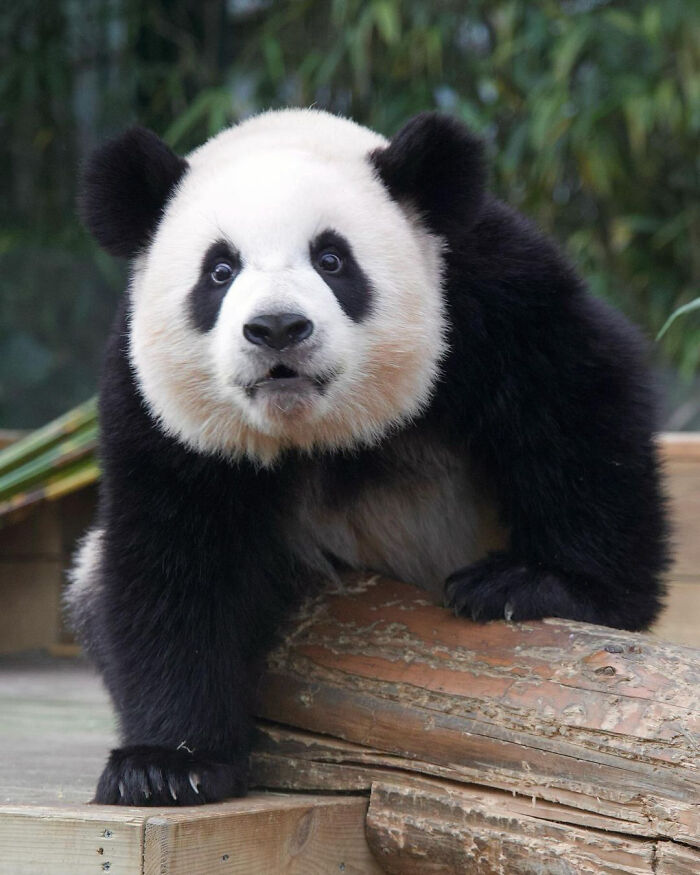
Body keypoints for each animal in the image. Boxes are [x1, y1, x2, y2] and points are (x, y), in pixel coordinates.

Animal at [66, 109, 669, 806]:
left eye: (332, 260)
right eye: (219, 271)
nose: (277, 328)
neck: (321, 429)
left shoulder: (483, 286)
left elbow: (576, 396)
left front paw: (541, 584)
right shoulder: (152, 403)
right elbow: (172, 559)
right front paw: (166, 766)